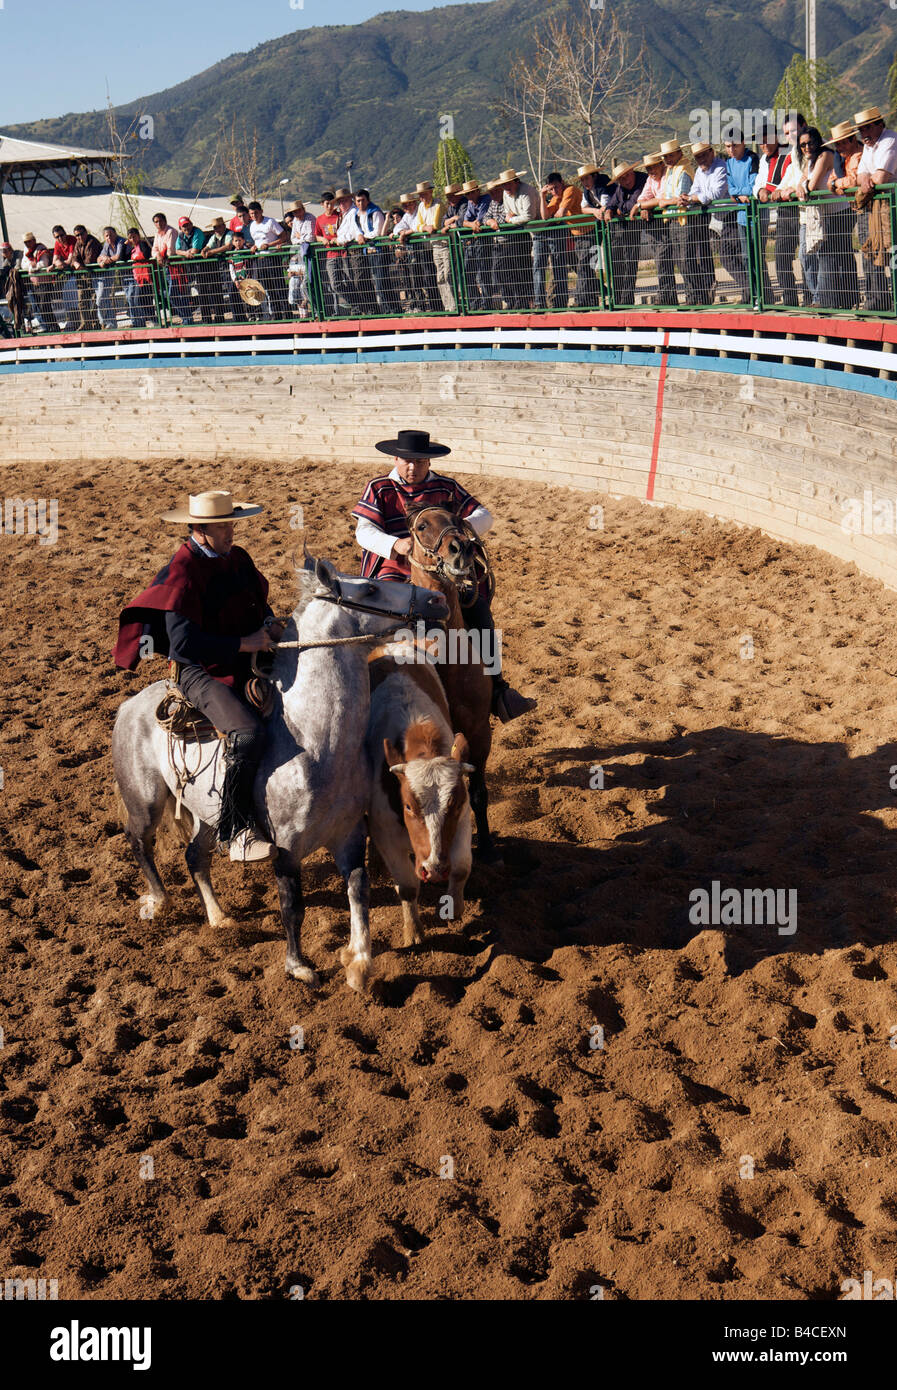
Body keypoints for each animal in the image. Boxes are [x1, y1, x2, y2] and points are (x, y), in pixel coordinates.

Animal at [111, 553, 447, 989]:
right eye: (371, 588)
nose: (438, 599)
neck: (314, 742)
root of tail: (129, 706)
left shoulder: (349, 836)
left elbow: (359, 892)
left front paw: (358, 962)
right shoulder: (285, 849)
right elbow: (292, 906)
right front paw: (299, 965)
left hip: (211, 817)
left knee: (195, 856)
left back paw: (219, 918)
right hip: (146, 801)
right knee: (139, 842)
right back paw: (159, 901)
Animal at [367, 650, 472, 945]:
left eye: (455, 804)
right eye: (408, 806)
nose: (434, 869)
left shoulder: (462, 820)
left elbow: (461, 867)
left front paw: (455, 907)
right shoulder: (386, 834)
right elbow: (407, 887)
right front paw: (413, 931)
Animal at [403, 505, 500, 856]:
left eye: (458, 520)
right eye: (421, 526)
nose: (463, 549)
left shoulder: (480, 731)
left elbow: (479, 793)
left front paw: (487, 848)